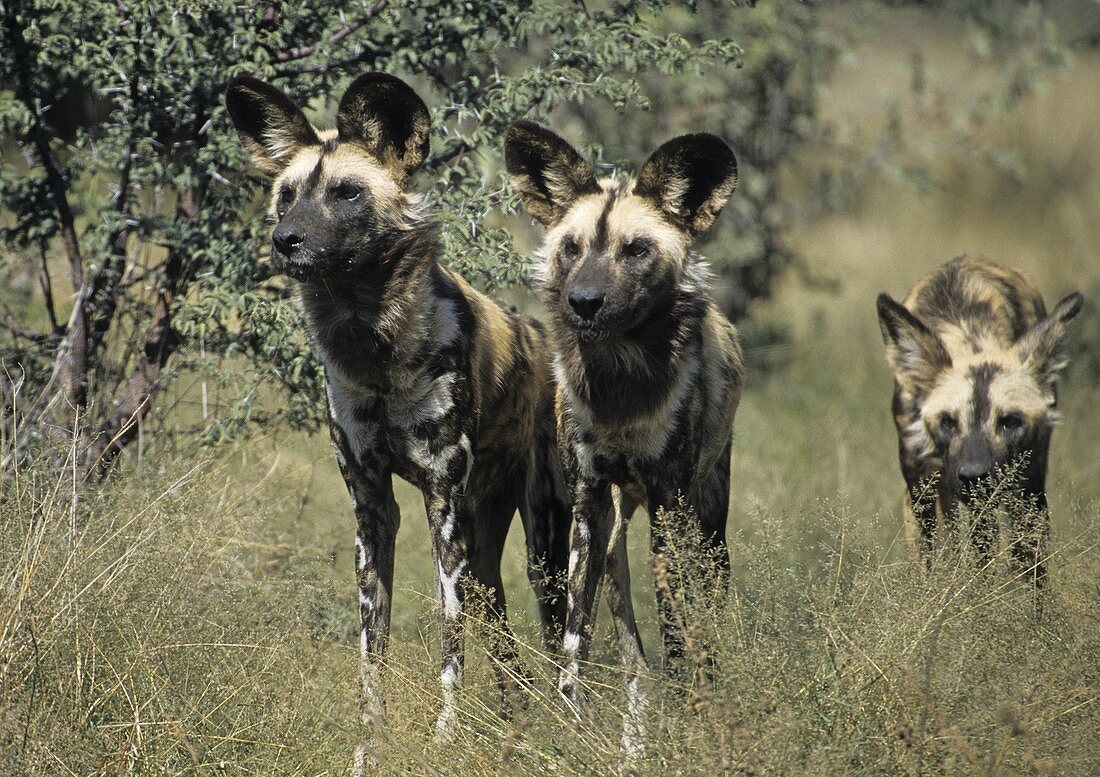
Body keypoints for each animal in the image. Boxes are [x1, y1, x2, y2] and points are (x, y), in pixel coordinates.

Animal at [223, 75, 572, 748]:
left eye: (347, 193)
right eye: (286, 196)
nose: (284, 240)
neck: (372, 343)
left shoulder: (442, 504)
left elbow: (449, 645)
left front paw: (443, 739)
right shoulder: (372, 510)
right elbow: (371, 652)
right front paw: (370, 744)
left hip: (541, 544)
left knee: (555, 631)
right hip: (485, 550)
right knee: (503, 640)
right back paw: (516, 729)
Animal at [506, 122, 748, 748]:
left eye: (636, 249)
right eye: (571, 248)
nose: (584, 302)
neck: (620, 389)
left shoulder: (670, 504)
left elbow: (677, 629)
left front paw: (690, 716)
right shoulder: (587, 504)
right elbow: (575, 635)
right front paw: (572, 718)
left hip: (707, 524)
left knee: (704, 610)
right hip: (589, 533)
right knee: (618, 631)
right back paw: (631, 730)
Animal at [875, 255, 1082, 585]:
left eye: (1010, 421)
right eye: (948, 421)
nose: (973, 476)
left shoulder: (1024, 491)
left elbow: (1021, 568)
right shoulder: (921, 486)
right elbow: (929, 562)